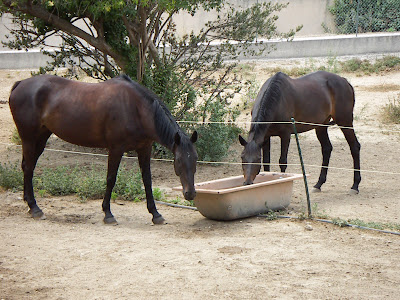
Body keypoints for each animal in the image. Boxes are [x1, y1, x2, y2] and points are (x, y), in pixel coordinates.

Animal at [9, 74, 197, 224]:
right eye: (178, 161)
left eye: (195, 159)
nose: (190, 194)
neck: (135, 108)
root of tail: (20, 83)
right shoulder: (116, 148)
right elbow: (111, 179)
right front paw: (108, 213)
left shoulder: (144, 149)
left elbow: (147, 180)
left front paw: (155, 214)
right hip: (29, 139)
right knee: (28, 168)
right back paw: (35, 208)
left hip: (41, 138)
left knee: (28, 167)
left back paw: (30, 204)